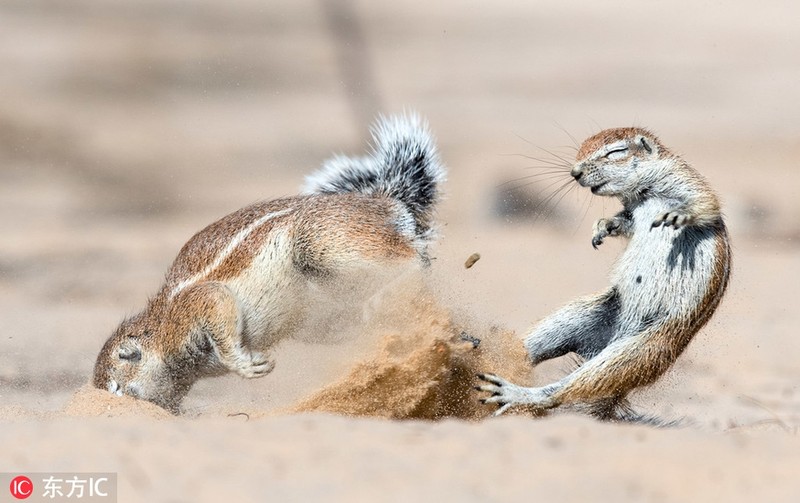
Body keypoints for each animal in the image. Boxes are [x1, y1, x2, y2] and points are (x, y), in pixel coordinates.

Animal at [92, 114, 450, 414]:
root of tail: (383, 202)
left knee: (411, 259)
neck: (160, 328)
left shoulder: (194, 309)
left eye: (116, 387)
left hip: (321, 242)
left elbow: (218, 311)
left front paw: (245, 366)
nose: (111, 406)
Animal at [478, 127, 736, 422]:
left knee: (568, 389)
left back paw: (515, 393)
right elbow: (625, 222)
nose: (575, 172)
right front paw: (601, 227)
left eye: (615, 152)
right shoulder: (631, 211)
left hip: (640, 351)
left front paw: (678, 216)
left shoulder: (686, 180)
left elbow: (707, 204)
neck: (644, 194)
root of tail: (602, 344)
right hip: (576, 316)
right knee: (531, 349)